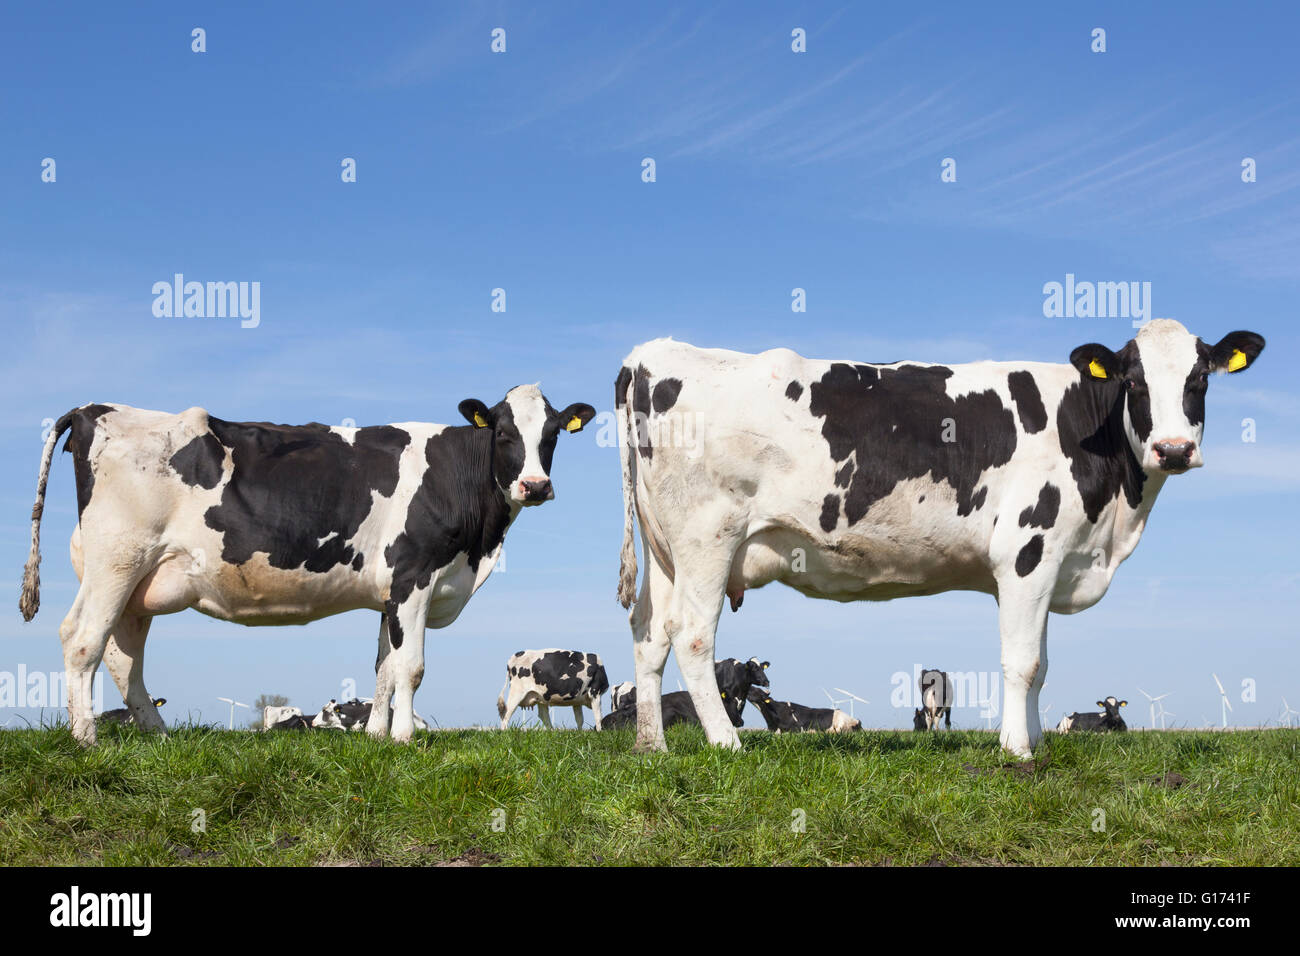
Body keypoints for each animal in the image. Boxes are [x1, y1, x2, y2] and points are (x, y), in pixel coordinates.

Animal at [20, 386, 596, 746]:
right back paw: (86, 739)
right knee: (83, 640)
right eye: (502, 434)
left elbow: (384, 667)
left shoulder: (389, 593)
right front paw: (405, 738)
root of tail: (94, 408)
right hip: (116, 560)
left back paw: (157, 735)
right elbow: (411, 667)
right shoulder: (414, 575)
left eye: (552, 434)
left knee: (125, 659)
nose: (535, 486)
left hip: (140, 584)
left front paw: (376, 737)